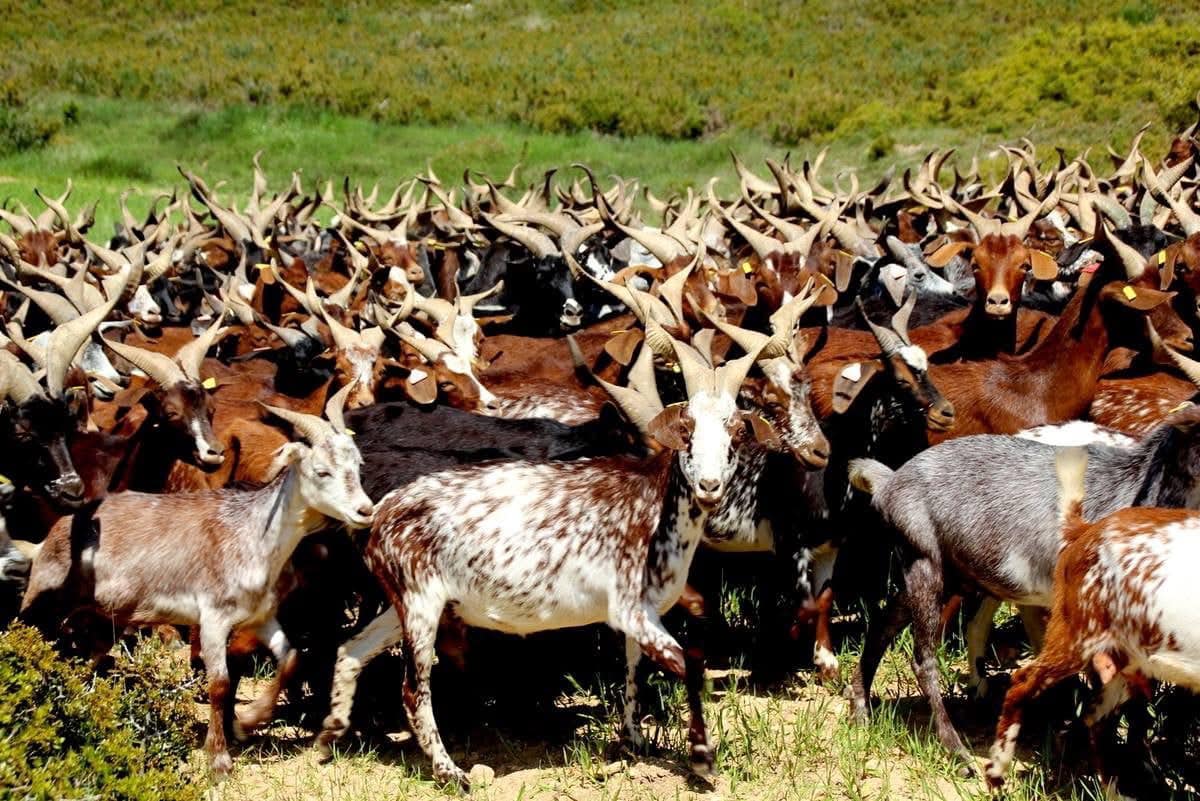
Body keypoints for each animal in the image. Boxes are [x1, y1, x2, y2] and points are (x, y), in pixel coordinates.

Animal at [20, 386, 374, 774]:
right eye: (321, 471)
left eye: (357, 466)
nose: (365, 511)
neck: (252, 533)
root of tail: (51, 535)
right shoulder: (213, 618)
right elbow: (219, 682)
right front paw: (218, 758)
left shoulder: (260, 618)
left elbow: (292, 658)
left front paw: (249, 719)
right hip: (45, 596)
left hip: (103, 615)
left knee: (86, 655)